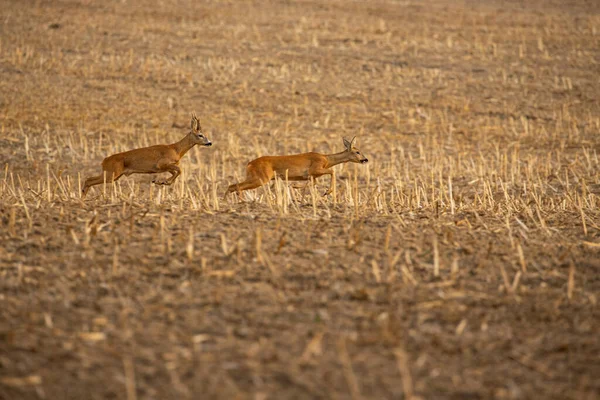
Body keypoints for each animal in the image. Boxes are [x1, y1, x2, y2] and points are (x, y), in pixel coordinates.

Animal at [81, 112, 213, 198]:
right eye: (200, 135)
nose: (209, 142)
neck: (176, 149)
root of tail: (104, 161)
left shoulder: (165, 167)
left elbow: (176, 172)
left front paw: (162, 182)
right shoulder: (161, 164)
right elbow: (179, 170)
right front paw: (163, 182)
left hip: (113, 174)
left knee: (88, 179)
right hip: (111, 173)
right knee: (88, 180)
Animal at [224, 137, 368, 199]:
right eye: (357, 152)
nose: (365, 159)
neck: (326, 160)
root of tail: (249, 164)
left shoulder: (311, 176)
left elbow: (311, 184)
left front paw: (295, 188)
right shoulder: (314, 169)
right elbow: (332, 171)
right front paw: (327, 192)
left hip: (255, 176)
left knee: (232, 185)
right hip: (260, 177)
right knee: (235, 186)